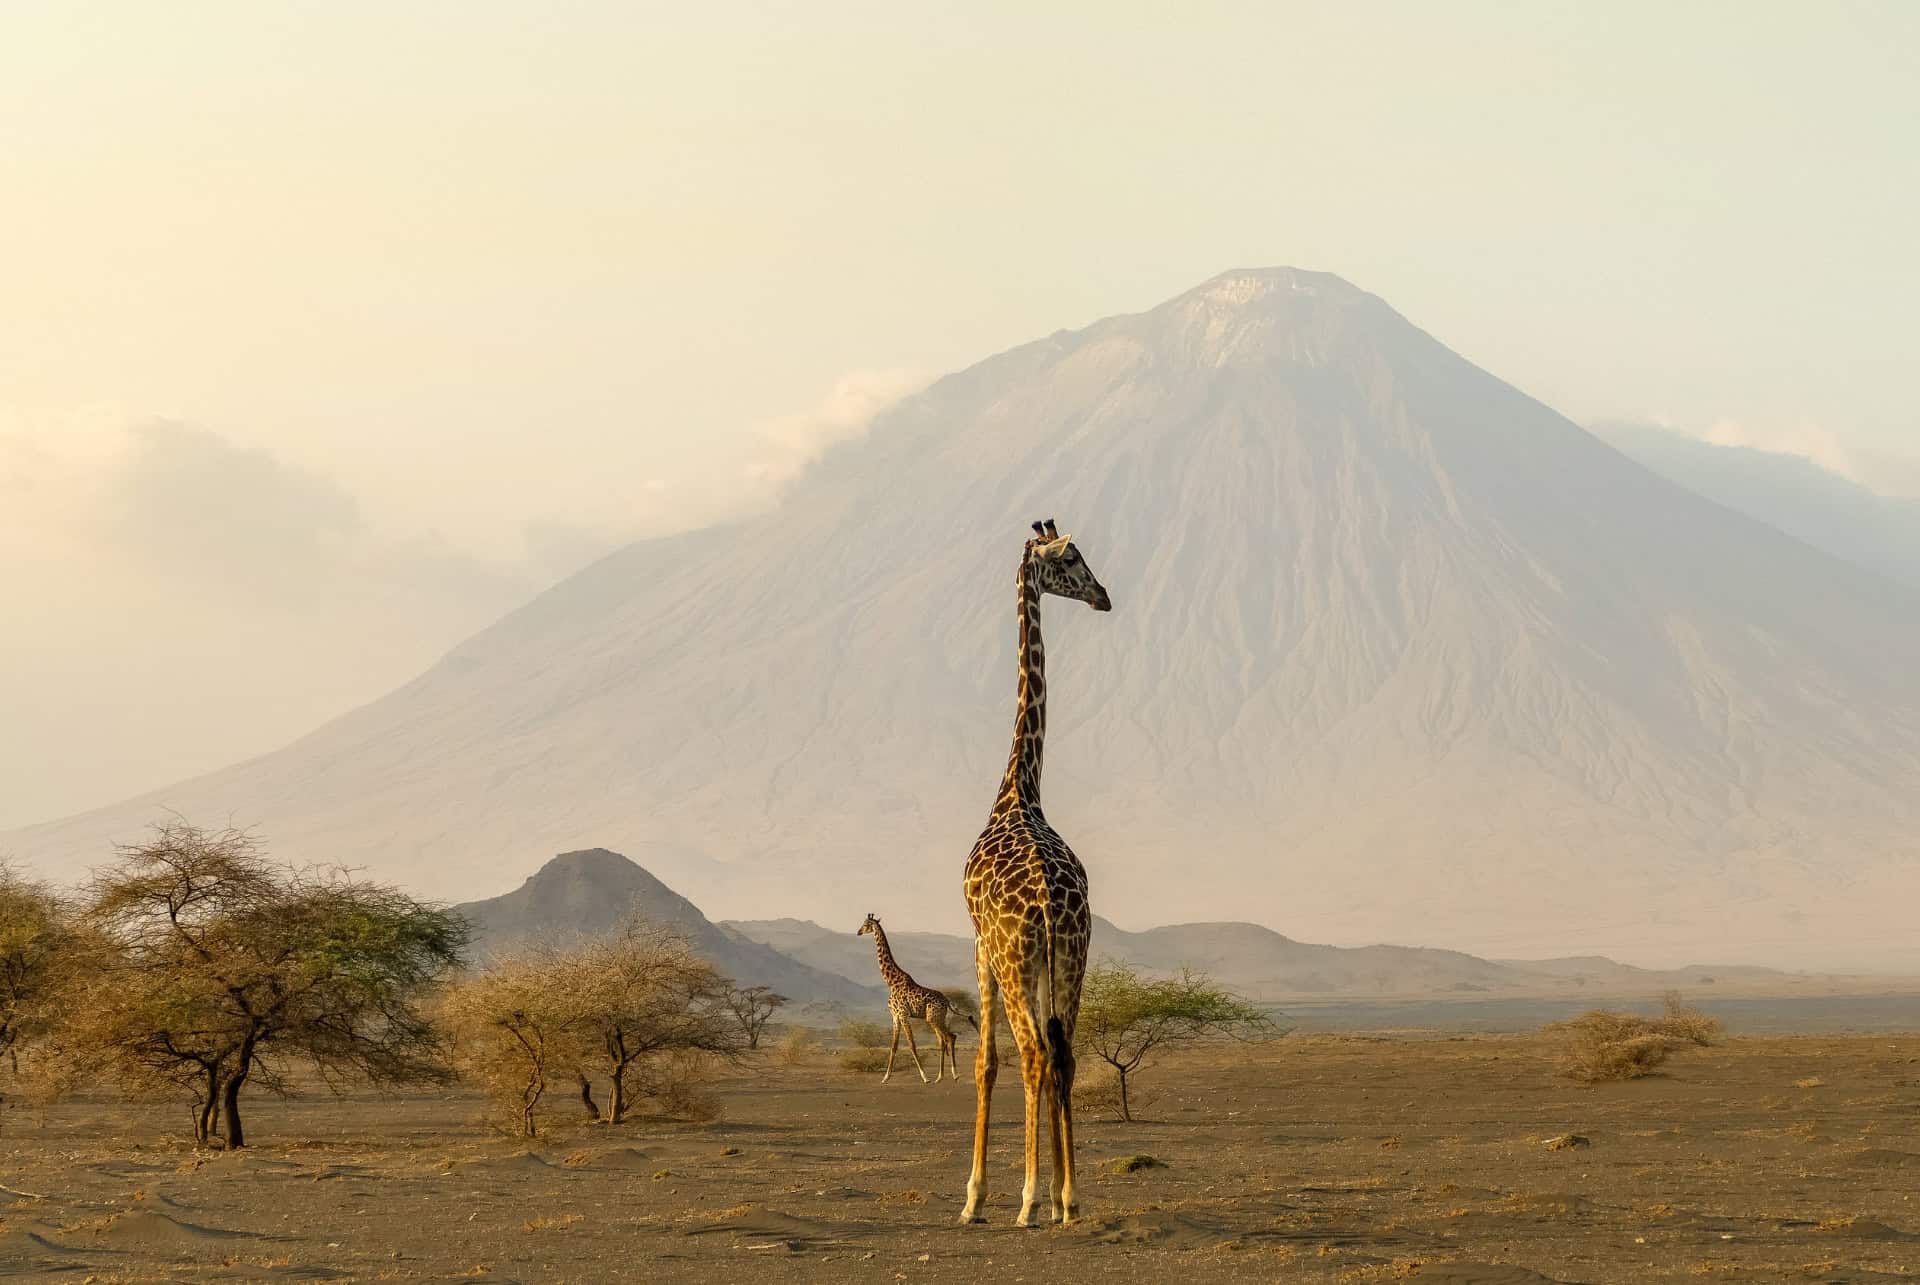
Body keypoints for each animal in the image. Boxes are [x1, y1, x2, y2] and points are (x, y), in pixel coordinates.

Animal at [860, 910, 975, 1083]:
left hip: (932, 1018)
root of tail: (947, 1001)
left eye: (866, 924)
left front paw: (924, 1077)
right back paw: (940, 1076)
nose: (858, 932)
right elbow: (894, 1046)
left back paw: (954, 1075)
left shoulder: (903, 1014)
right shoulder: (895, 1016)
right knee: (945, 1039)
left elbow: (911, 1044)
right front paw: (885, 1077)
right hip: (938, 1018)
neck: (891, 981)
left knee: (949, 1037)